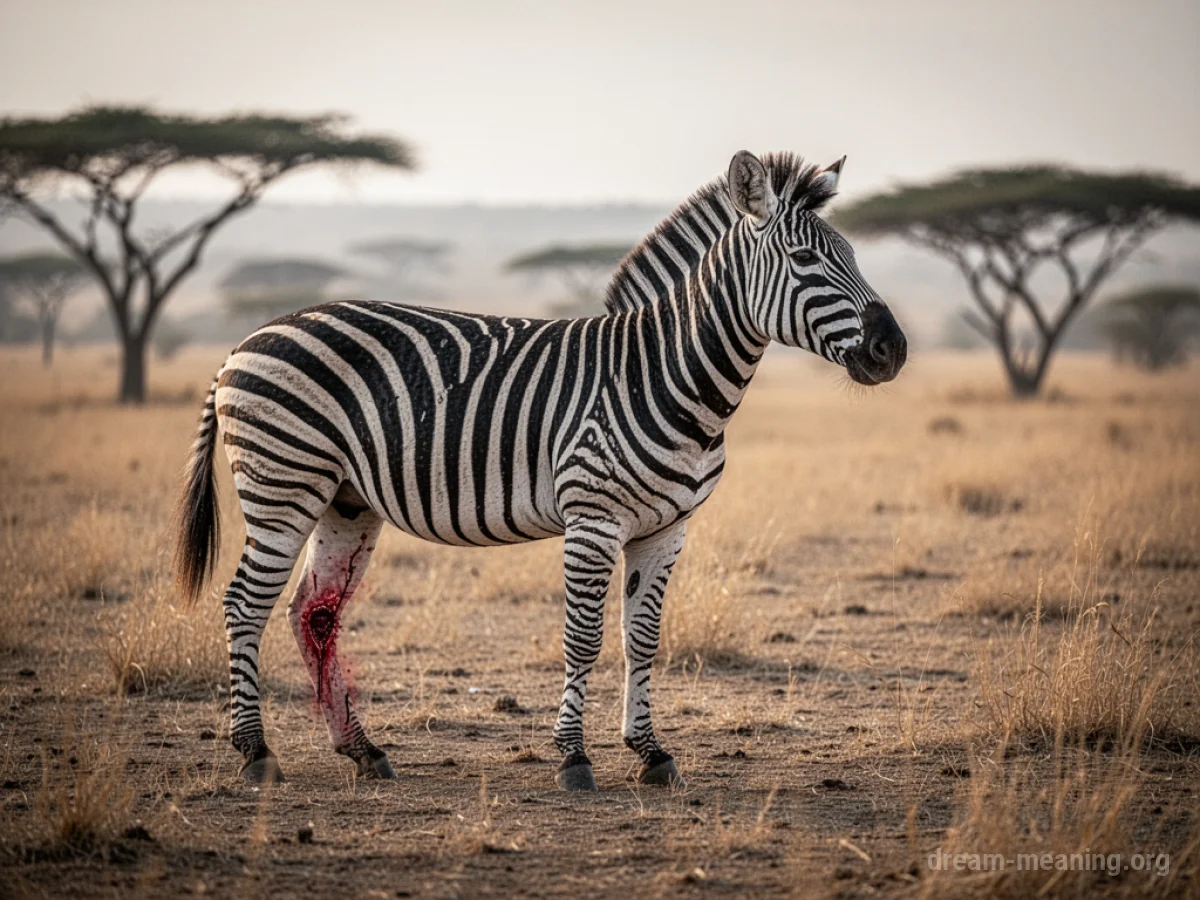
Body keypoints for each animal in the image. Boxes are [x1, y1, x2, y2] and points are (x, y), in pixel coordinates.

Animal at [174, 150, 906, 791]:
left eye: (853, 257)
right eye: (805, 259)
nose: (891, 349)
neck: (664, 373)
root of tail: (244, 341)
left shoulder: (666, 529)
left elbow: (642, 638)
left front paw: (650, 752)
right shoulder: (593, 518)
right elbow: (583, 639)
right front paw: (574, 758)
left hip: (345, 501)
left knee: (313, 613)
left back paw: (362, 751)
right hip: (283, 484)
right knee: (244, 603)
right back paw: (257, 754)